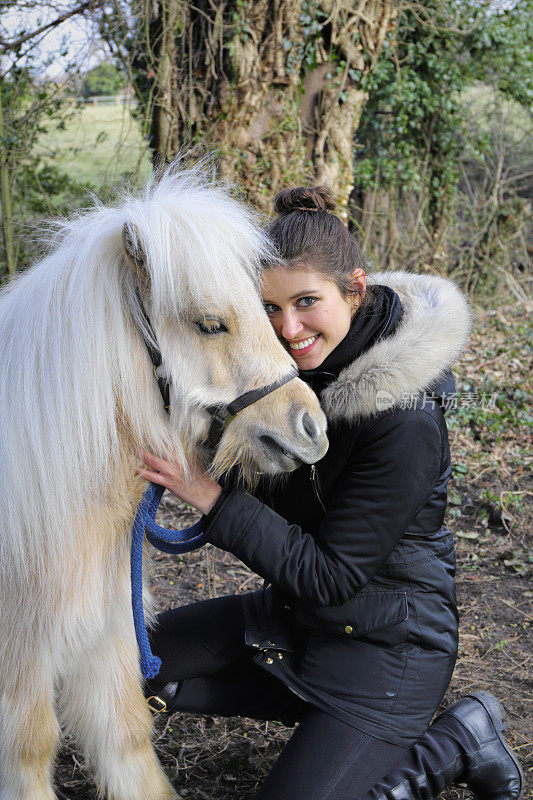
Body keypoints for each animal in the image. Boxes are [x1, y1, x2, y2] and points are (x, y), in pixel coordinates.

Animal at [0, 164, 328, 800]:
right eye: (210, 325)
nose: (311, 427)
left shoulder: (104, 631)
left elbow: (126, 731)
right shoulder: (20, 656)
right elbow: (29, 748)